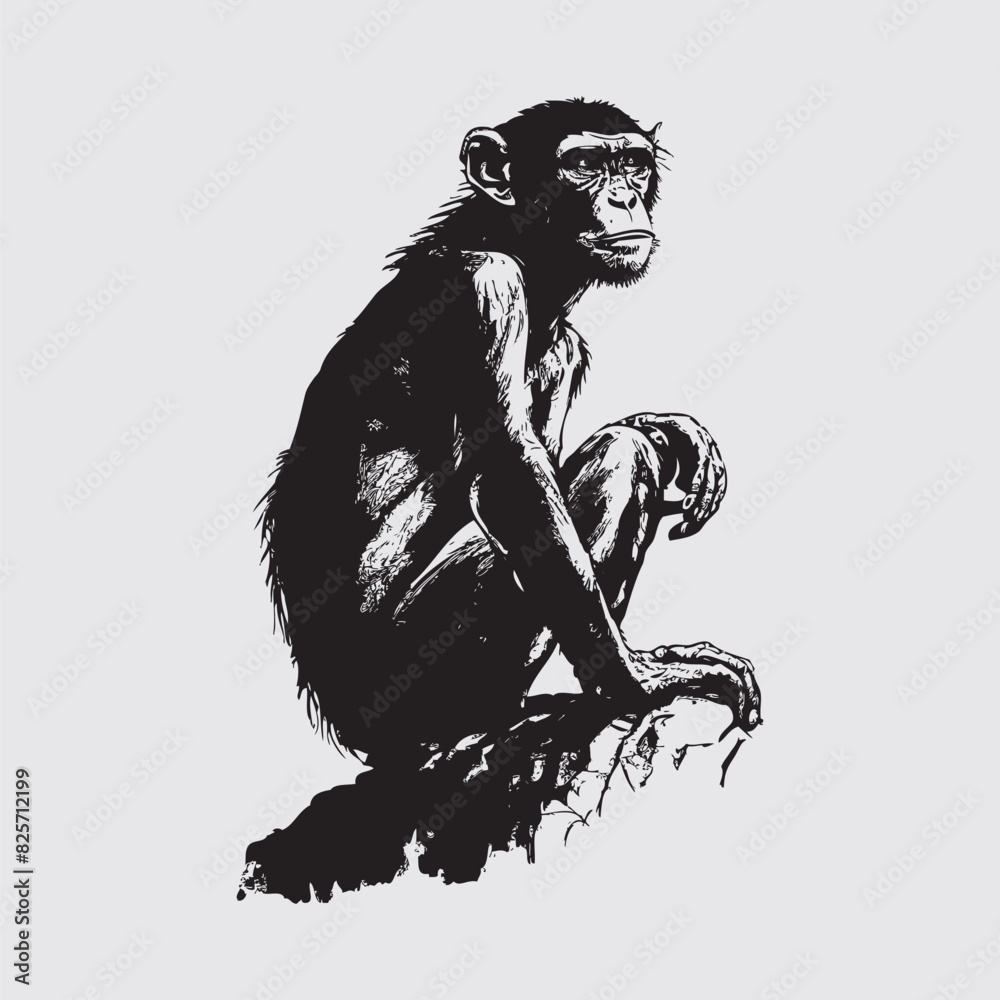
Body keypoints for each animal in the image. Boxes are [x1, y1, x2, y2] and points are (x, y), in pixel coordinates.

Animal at [259, 98, 761, 771]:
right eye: (583, 164)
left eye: (633, 163)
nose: (625, 197)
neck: (515, 250)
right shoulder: (484, 291)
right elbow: (515, 477)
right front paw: (641, 679)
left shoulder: (565, 350)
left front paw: (668, 429)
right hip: (407, 675)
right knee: (616, 461)